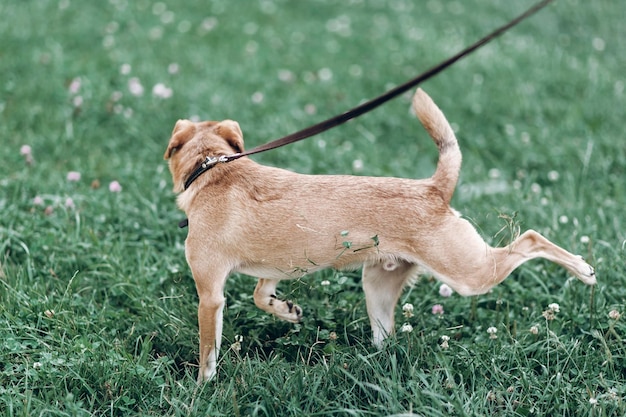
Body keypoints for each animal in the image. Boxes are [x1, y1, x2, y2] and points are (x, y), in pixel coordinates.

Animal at [162, 88, 596, 380]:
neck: (212, 166)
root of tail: (433, 188)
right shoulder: (277, 267)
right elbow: (261, 294)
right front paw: (287, 310)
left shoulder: (210, 296)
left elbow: (207, 353)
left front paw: (202, 388)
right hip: (379, 287)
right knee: (388, 340)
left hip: (468, 273)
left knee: (531, 239)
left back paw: (583, 269)